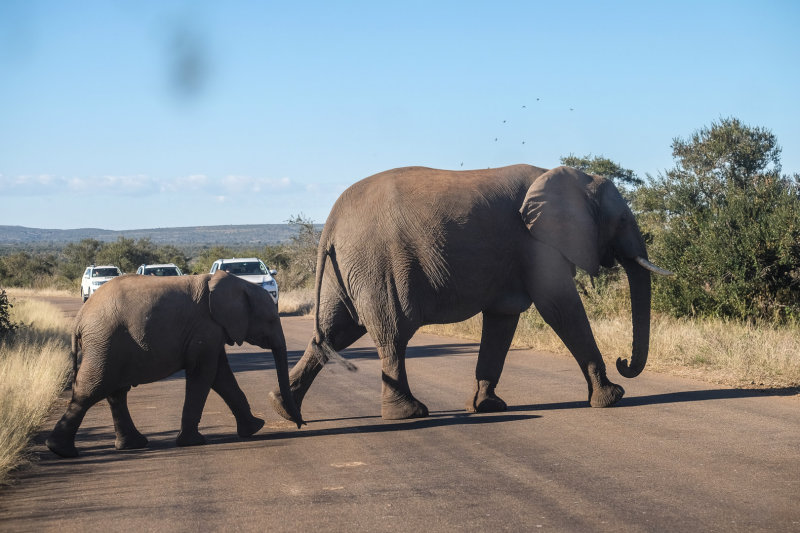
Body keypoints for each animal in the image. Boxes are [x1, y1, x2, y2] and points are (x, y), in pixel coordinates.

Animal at [47, 270, 304, 458]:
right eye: (271, 320)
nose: (301, 424)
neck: (237, 284)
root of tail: (80, 318)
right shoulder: (205, 328)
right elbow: (205, 374)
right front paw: (193, 442)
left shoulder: (212, 331)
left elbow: (221, 376)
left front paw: (254, 428)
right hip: (104, 341)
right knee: (92, 390)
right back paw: (61, 451)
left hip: (107, 345)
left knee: (115, 393)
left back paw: (130, 445)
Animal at [272, 164, 672, 422]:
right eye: (622, 220)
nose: (623, 361)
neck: (573, 177)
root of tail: (330, 223)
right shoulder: (536, 244)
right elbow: (560, 306)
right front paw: (612, 398)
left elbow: (503, 320)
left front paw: (487, 406)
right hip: (376, 266)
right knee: (392, 334)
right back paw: (408, 414)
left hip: (347, 268)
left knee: (333, 333)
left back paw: (284, 409)